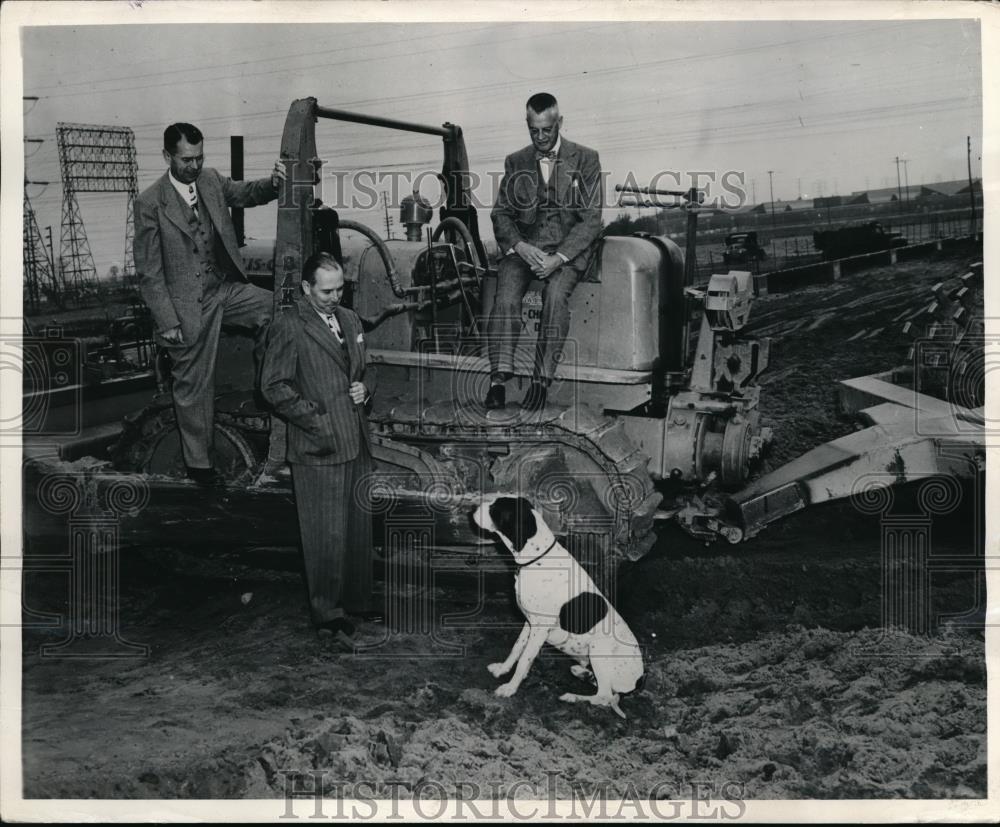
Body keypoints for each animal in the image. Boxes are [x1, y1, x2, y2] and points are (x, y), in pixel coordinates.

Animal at [472, 498, 644, 720]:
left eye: (494, 509)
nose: (473, 507)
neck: (538, 558)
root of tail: (640, 679)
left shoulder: (539, 629)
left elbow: (524, 659)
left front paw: (510, 688)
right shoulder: (530, 623)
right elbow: (517, 649)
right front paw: (503, 669)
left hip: (598, 650)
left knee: (604, 697)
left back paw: (572, 696)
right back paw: (583, 673)